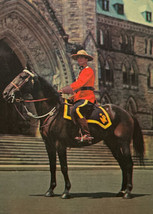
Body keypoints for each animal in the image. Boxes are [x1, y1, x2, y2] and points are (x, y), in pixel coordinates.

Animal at [2, 68, 145, 199]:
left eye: (22, 77)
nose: (5, 93)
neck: (52, 112)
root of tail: (127, 112)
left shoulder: (60, 144)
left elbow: (64, 167)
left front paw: (66, 191)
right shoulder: (49, 145)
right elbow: (52, 166)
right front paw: (50, 190)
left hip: (124, 142)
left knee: (129, 163)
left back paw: (128, 192)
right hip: (112, 142)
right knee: (122, 164)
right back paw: (121, 191)